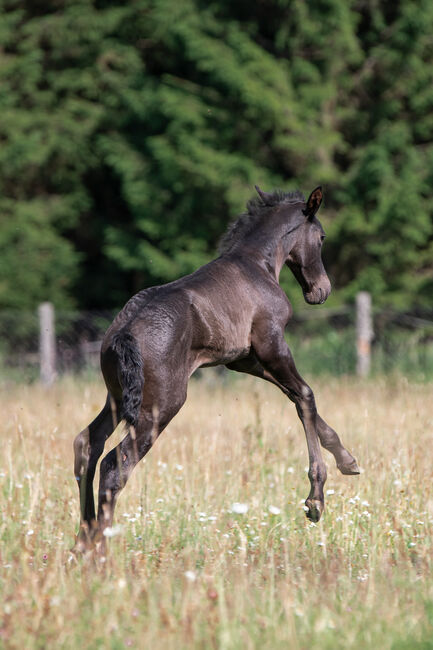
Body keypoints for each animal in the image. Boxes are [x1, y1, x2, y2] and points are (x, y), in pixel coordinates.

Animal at [73, 186, 358, 548]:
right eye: (321, 237)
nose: (321, 290)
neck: (258, 264)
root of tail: (124, 333)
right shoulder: (271, 344)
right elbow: (306, 395)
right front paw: (315, 500)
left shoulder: (244, 359)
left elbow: (296, 397)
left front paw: (348, 460)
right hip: (159, 406)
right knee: (114, 464)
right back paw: (100, 548)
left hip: (118, 397)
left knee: (87, 444)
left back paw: (83, 539)